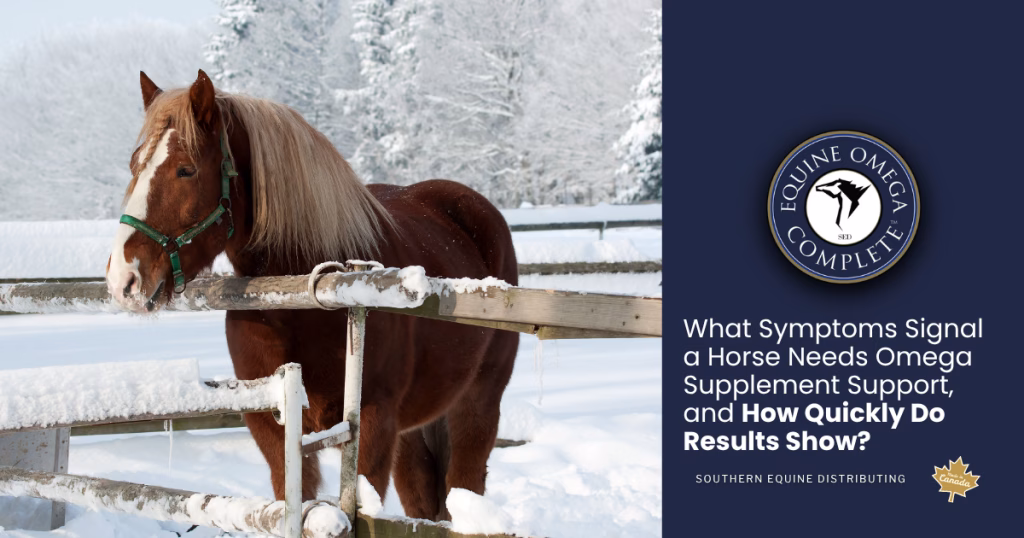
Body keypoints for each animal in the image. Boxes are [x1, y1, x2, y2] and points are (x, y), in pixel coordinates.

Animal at [105, 69, 519, 520]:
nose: (124, 279)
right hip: (413, 427)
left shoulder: (372, 425)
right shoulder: (273, 427)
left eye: (186, 170)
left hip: (477, 403)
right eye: (134, 165)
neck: (297, 304)